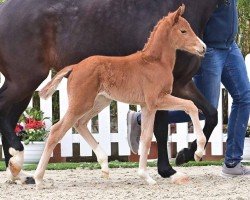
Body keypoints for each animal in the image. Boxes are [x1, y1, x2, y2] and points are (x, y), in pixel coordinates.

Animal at [33, 5, 206, 189]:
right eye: (183, 30)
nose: (203, 48)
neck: (155, 62)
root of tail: (75, 67)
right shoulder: (157, 100)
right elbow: (191, 105)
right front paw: (198, 152)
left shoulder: (147, 106)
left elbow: (146, 138)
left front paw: (145, 176)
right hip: (81, 103)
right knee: (57, 130)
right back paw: (38, 178)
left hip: (100, 102)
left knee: (80, 123)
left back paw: (104, 166)